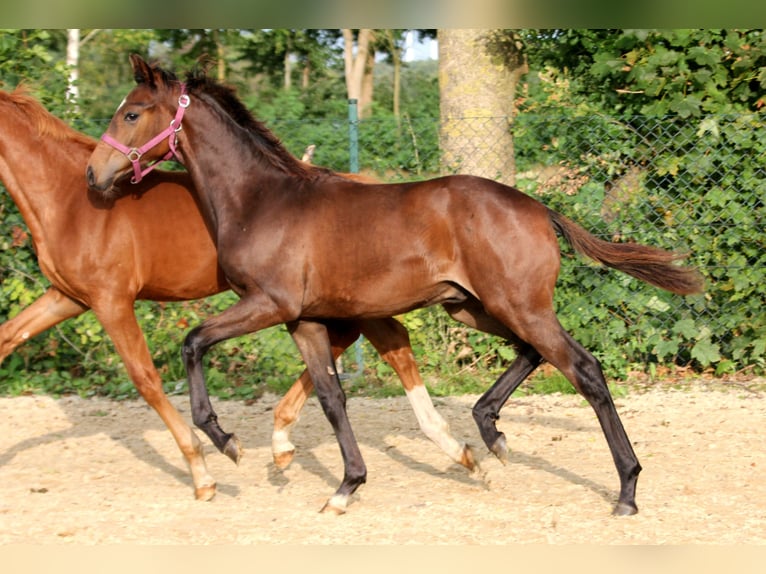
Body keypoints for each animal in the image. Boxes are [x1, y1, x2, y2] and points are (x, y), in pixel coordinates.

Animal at [0, 86, 474, 504]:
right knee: (383, 343)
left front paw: (205, 471)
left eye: (131, 114)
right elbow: (8, 339)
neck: (68, 201)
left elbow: (146, 379)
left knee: (384, 343)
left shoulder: (111, 300)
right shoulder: (68, 297)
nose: (94, 176)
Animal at [87, 56, 704, 516]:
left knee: (584, 369)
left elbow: (193, 342)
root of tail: (538, 207)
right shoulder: (304, 320)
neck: (262, 201)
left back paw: (626, 490)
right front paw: (345, 487)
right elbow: (331, 398)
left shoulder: (269, 304)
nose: (95, 175)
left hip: (517, 305)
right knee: (534, 355)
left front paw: (226, 440)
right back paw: (491, 434)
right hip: (473, 307)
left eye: (132, 113)